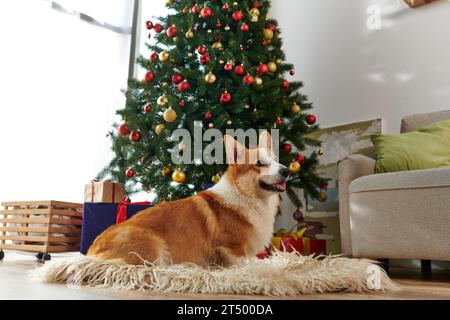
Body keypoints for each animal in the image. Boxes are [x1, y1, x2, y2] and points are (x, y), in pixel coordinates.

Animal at [88, 131, 288, 266]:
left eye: (276, 160)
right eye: (260, 163)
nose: (286, 170)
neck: (246, 195)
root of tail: (91, 251)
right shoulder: (232, 249)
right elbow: (247, 266)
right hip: (153, 247)